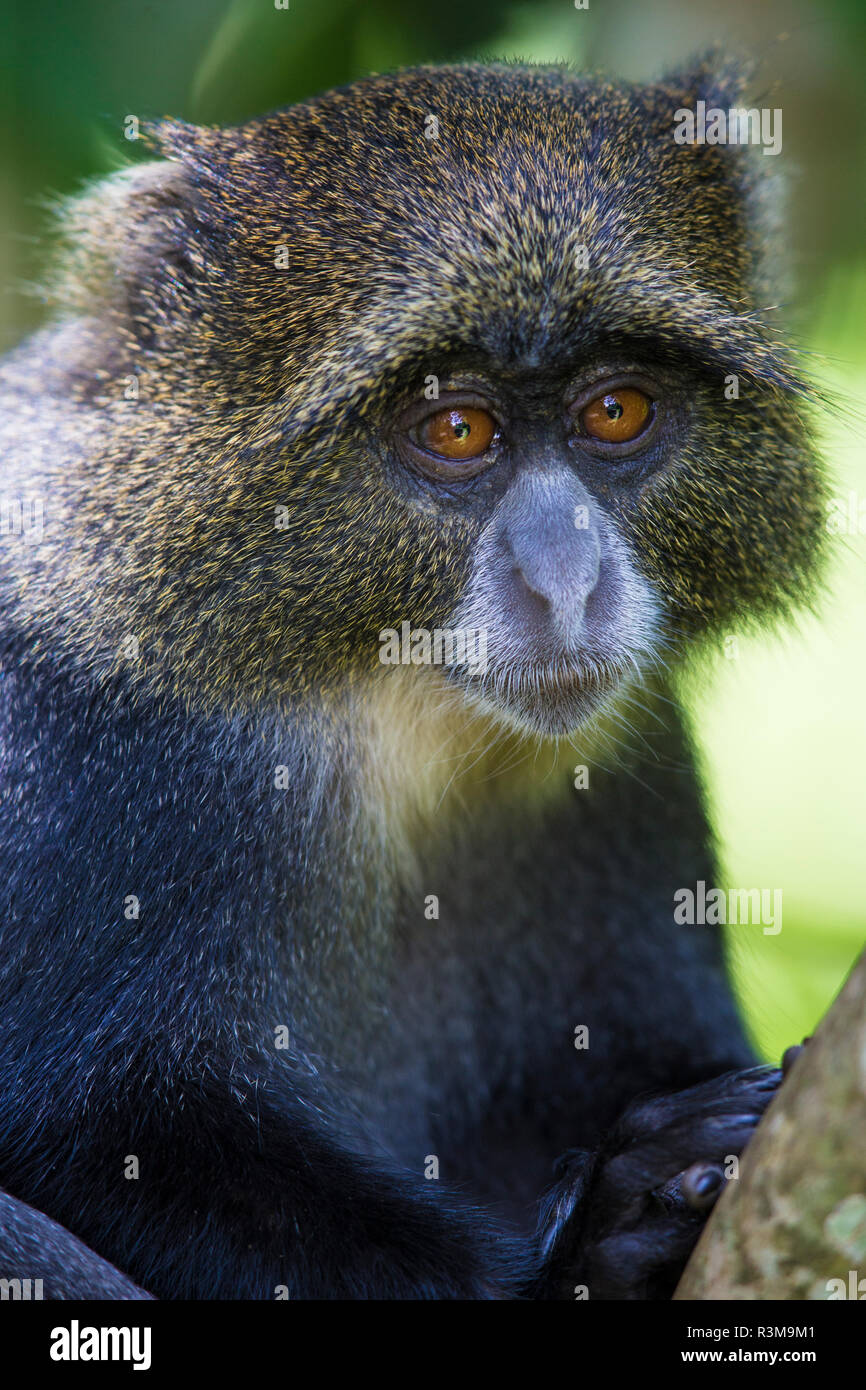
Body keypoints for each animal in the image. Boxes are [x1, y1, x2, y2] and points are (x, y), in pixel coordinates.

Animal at [0, 59, 828, 1295]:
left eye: (615, 410)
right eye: (457, 429)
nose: (565, 581)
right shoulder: (99, 746)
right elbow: (89, 1129)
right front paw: (605, 1232)